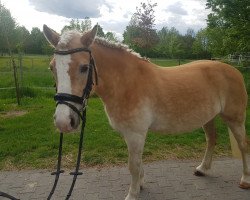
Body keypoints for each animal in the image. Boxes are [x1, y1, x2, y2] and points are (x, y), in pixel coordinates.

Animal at [43, 25, 250, 200]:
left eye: (84, 67)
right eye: (52, 67)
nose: (63, 121)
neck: (127, 83)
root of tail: (233, 69)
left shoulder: (136, 134)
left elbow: (133, 165)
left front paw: (133, 194)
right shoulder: (131, 134)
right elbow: (138, 162)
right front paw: (141, 185)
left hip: (235, 119)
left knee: (243, 145)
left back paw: (245, 180)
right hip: (208, 118)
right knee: (211, 140)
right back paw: (202, 169)